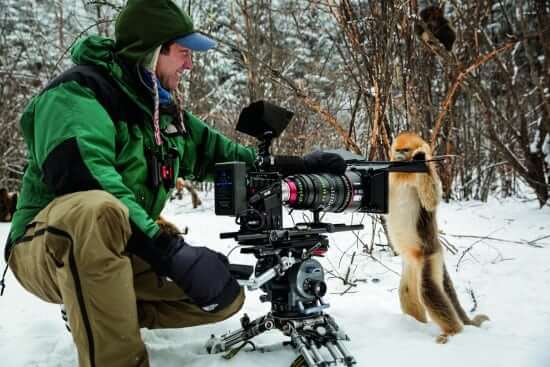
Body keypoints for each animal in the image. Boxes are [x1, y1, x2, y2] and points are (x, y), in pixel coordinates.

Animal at [386, 133, 490, 344]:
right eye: (397, 150)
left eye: (405, 150)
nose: (398, 156)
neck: (403, 172)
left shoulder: (426, 170)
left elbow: (431, 200)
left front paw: (420, 157)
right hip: (411, 268)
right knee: (407, 292)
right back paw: (414, 325)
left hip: (431, 257)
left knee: (428, 291)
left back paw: (452, 331)